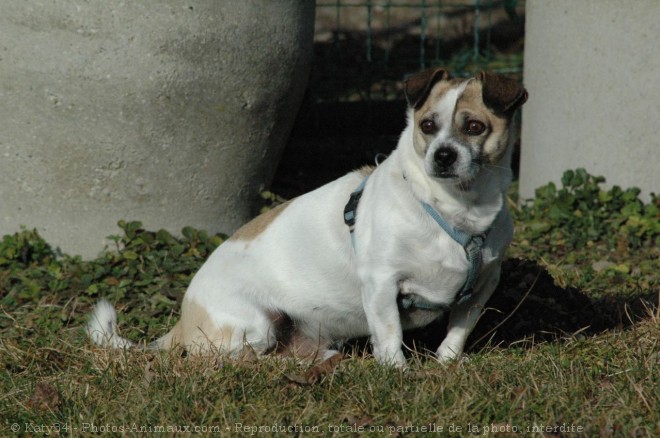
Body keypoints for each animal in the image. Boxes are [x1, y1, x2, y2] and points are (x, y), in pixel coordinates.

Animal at [87, 67, 528, 366]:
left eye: (475, 127)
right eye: (428, 126)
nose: (442, 155)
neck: (455, 210)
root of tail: (181, 324)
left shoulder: (484, 284)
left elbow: (458, 330)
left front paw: (447, 363)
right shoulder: (382, 284)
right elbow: (389, 335)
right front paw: (398, 373)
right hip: (255, 326)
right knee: (230, 361)